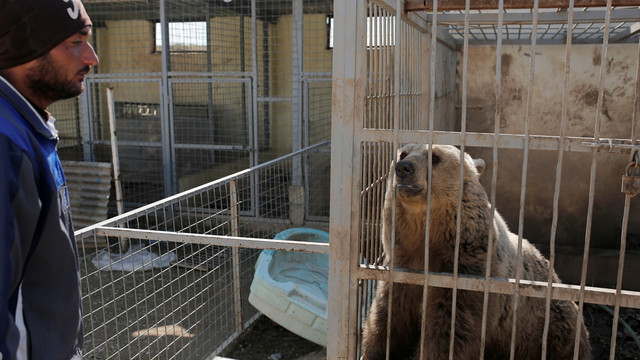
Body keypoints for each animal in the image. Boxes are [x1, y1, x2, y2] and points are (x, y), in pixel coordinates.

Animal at [360, 143, 592, 360]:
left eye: (435, 157)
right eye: (403, 153)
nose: (404, 168)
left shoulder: (468, 274)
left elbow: (450, 331)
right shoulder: (403, 268)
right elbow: (389, 318)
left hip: (551, 321)